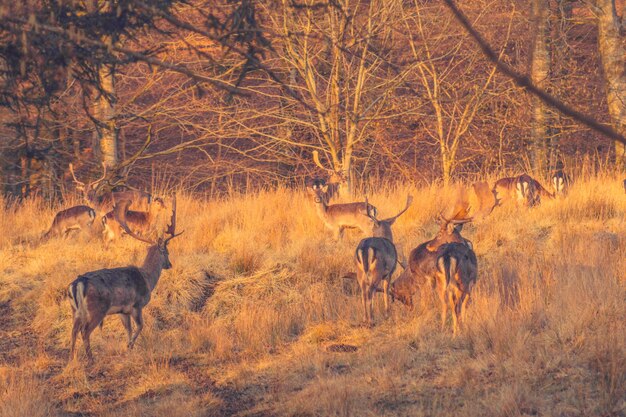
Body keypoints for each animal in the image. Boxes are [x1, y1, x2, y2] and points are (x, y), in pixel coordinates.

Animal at [67, 195, 180, 360]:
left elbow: (128, 329)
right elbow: (140, 326)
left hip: (75, 310)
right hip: (96, 309)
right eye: (167, 252)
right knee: (84, 331)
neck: (147, 279)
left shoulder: (122, 310)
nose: (170, 264)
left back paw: (72, 358)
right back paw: (90, 358)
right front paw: (130, 346)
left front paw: (129, 347)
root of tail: (77, 284)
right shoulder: (137, 305)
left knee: (73, 331)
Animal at [354, 195, 412, 324]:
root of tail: (365, 247)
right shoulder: (389, 272)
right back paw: (371, 319)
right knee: (370, 290)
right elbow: (385, 290)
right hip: (377, 270)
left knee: (364, 291)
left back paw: (365, 318)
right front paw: (387, 314)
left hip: (360, 271)